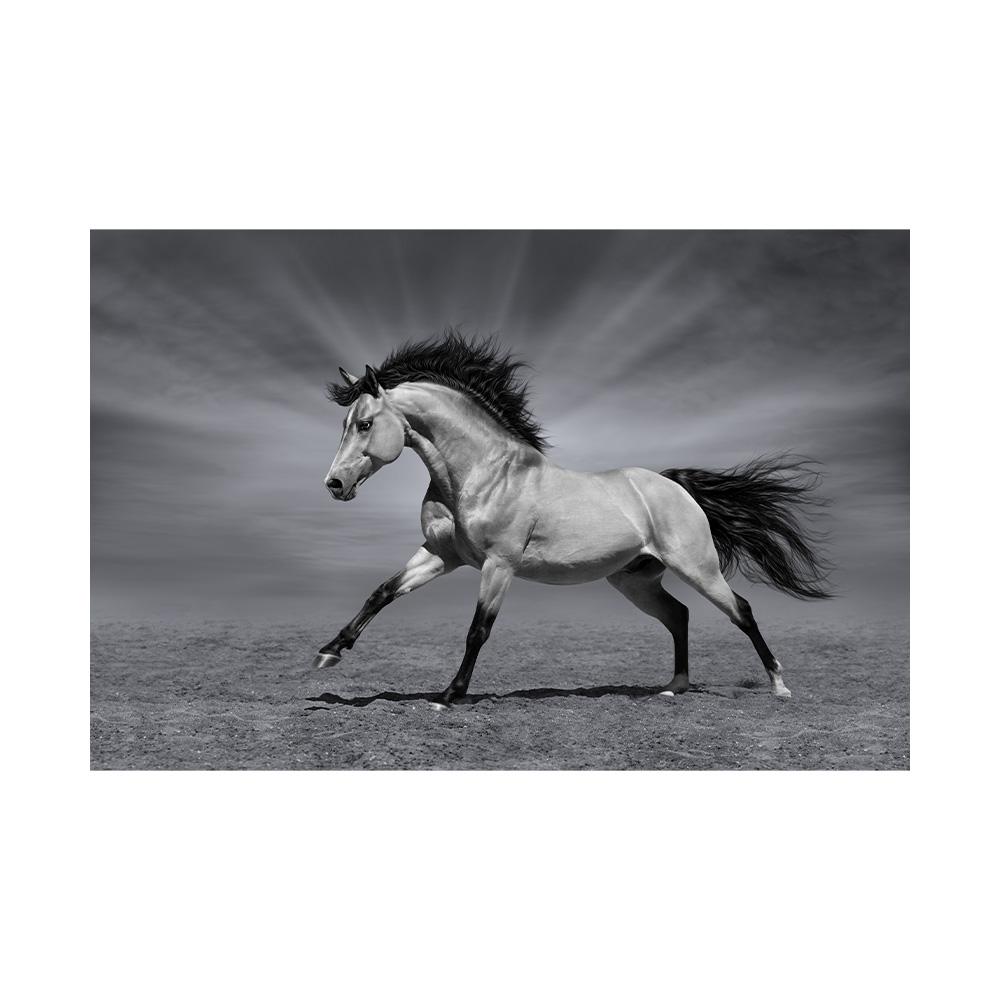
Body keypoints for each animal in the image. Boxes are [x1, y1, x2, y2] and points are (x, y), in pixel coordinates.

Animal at [313, 332, 832, 703]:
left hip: (697, 567)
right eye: (345, 424)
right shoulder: (442, 555)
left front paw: (449, 695)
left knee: (740, 611)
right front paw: (329, 653)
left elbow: (478, 629)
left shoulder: (498, 565)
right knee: (679, 615)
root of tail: (675, 487)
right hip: (634, 580)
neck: (482, 473)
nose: (334, 484)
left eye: (364, 424)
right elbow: (382, 592)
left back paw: (779, 687)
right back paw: (672, 688)